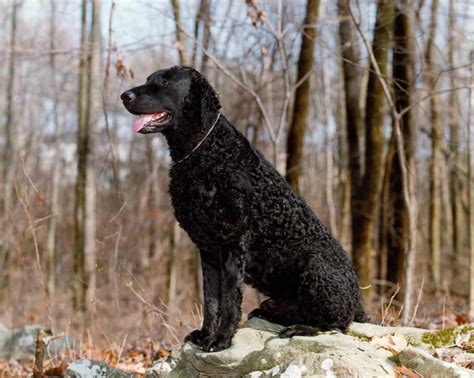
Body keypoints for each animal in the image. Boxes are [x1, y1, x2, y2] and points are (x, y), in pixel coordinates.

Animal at [120, 66, 364, 352]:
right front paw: (204, 335)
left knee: (337, 322)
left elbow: (229, 299)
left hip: (317, 268)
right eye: (148, 79)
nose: (124, 95)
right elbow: (211, 300)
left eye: (166, 81)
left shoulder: (232, 243)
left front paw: (222, 339)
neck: (202, 151)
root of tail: (357, 300)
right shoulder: (207, 250)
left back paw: (301, 328)